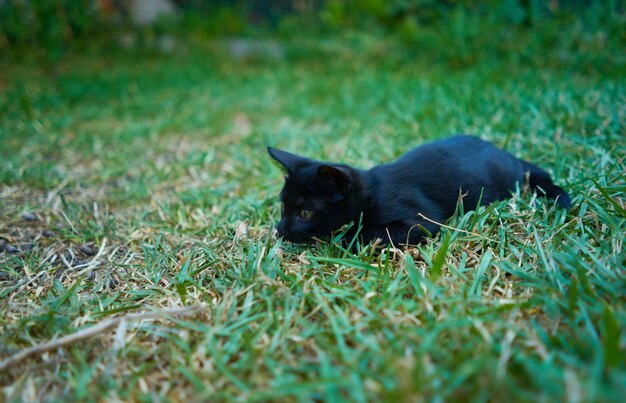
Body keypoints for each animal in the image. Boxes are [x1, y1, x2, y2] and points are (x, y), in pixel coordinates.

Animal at [266, 135, 568, 246]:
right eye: (283, 207)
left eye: (305, 213)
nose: (280, 230)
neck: (373, 191)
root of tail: (508, 156)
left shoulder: (421, 220)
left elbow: (371, 232)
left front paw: (344, 237)